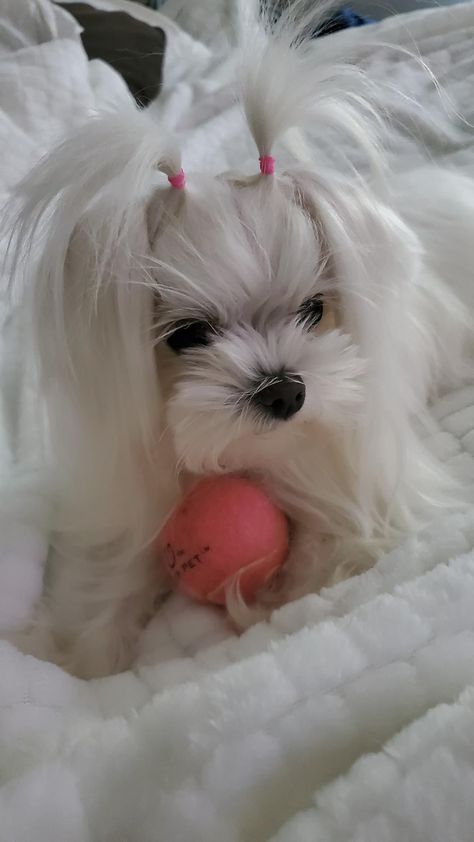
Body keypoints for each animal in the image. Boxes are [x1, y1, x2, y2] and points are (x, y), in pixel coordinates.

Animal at [5, 1, 472, 676]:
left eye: (313, 310)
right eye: (188, 335)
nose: (283, 391)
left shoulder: (350, 469)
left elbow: (334, 539)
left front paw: (271, 594)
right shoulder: (133, 489)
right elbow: (111, 573)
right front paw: (87, 653)